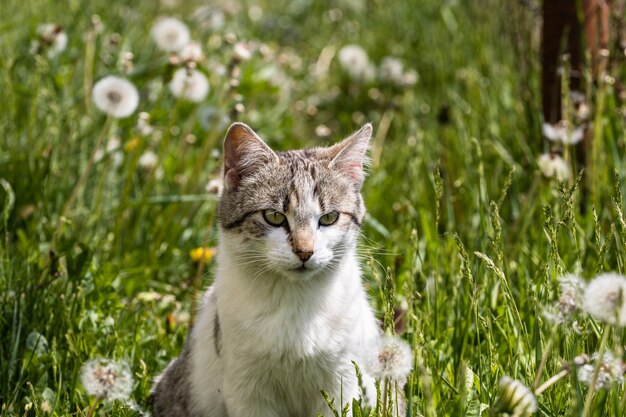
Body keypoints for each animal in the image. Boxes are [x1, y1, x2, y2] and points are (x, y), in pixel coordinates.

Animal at [151, 122, 378, 414]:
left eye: (329, 218)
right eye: (274, 216)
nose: (305, 251)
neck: (294, 302)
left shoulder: (342, 380)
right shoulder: (246, 387)